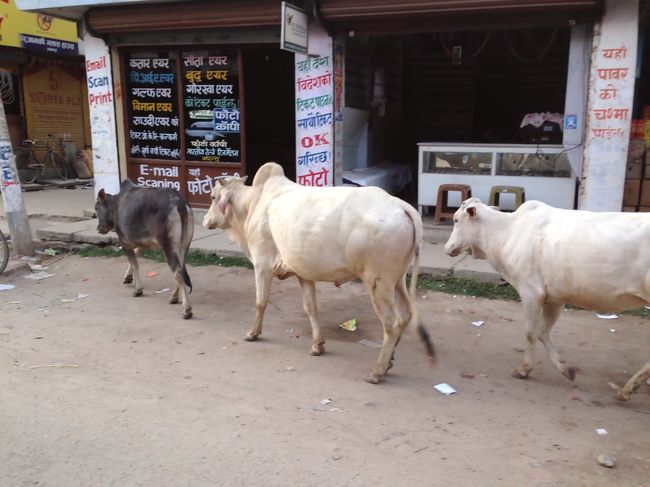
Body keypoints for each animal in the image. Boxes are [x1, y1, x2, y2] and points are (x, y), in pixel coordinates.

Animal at [95, 179, 194, 320]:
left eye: (96, 208)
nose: (99, 228)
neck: (116, 204)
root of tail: (178, 201)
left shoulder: (124, 241)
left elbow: (134, 263)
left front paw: (138, 289)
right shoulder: (143, 240)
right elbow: (136, 255)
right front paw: (128, 277)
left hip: (168, 247)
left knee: (178, 273)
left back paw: (187, 309)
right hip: (183, 246)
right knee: (181, 269)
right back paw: (174, 297)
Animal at [200, 164, 432, 386]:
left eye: (212, 197)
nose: (205, 220)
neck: (252, 204)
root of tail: (402, 207)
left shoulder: (262, 264)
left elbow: (261, 302)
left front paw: (252, 333)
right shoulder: (303, 273)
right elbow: (310, 308)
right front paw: (317, 345)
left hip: (378, 282)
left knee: (391, 324)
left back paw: (377, 372)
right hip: (397, 281)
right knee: (405, 317)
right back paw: (389, 361)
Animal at [442, 196, 648, 402]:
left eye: (456, 219)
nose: (446, 247)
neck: (506, 232)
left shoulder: (531, 293)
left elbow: (530, 332)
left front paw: (524, 369)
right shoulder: (556, 298)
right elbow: (543, 332)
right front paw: (565, 369)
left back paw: (627, 389)